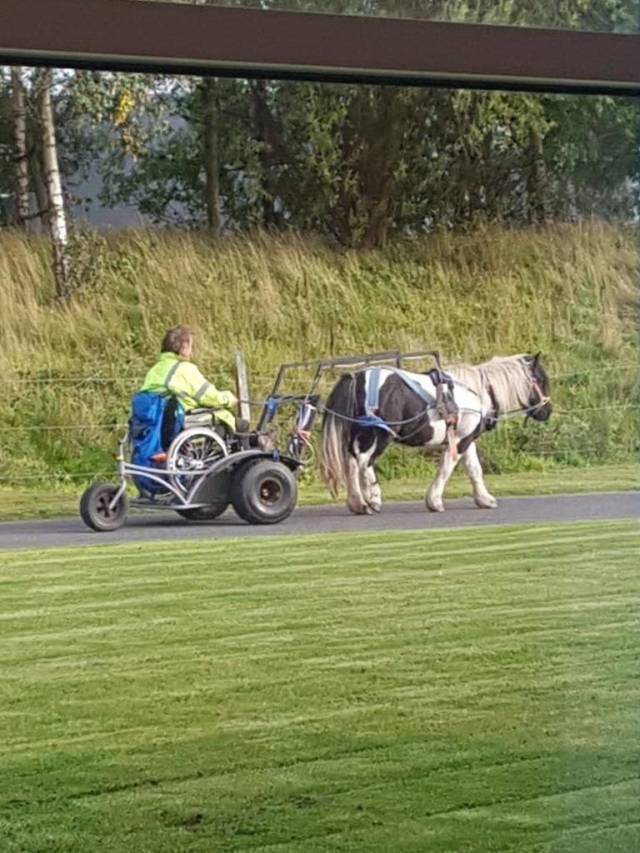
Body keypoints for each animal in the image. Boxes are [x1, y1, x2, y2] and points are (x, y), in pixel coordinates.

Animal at [320, 352, 552, 512]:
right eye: (541, 380)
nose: (548, 410)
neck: (478, 391)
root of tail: (357, 377)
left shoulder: (466, 439)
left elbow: (474, 469)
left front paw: (484, 499)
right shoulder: (459, 441)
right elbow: (446, 468)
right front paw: (434, 501)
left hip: (362, 434)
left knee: (353, 461)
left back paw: (360, 502)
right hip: (378, 435)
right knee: (362, 462)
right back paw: (369, 500)